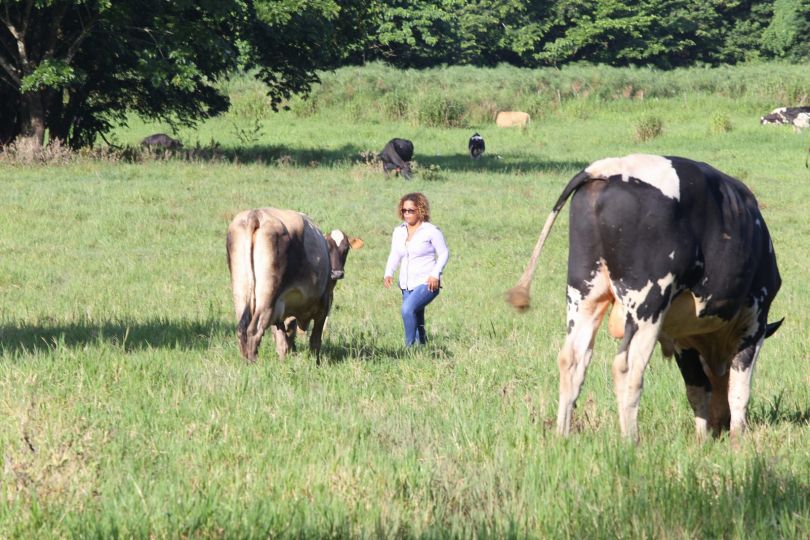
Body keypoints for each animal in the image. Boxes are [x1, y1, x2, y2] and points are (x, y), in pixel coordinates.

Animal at [224, 209, 362, 364]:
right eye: (330, 248)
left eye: (346, 249)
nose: (337, 273)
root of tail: (256, 214)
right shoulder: (323, 305)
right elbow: (314, 340)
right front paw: (315, 364)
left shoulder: (282, 312)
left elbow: (283, 341)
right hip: (267, 300)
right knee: (254, 331)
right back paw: (253, 363)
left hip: (241, 294)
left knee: (242, 329)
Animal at [508, 154, 780, 446]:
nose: (722, 424)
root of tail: (606, 168)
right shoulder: (755, 320)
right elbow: (739, 388)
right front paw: (738, 438)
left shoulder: (683, 338)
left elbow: (697, 389)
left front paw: (702, 438)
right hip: (648, 303)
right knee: (626, 367)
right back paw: (631, 439)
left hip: (584, 293)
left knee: (572, 359)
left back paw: (563, 434)